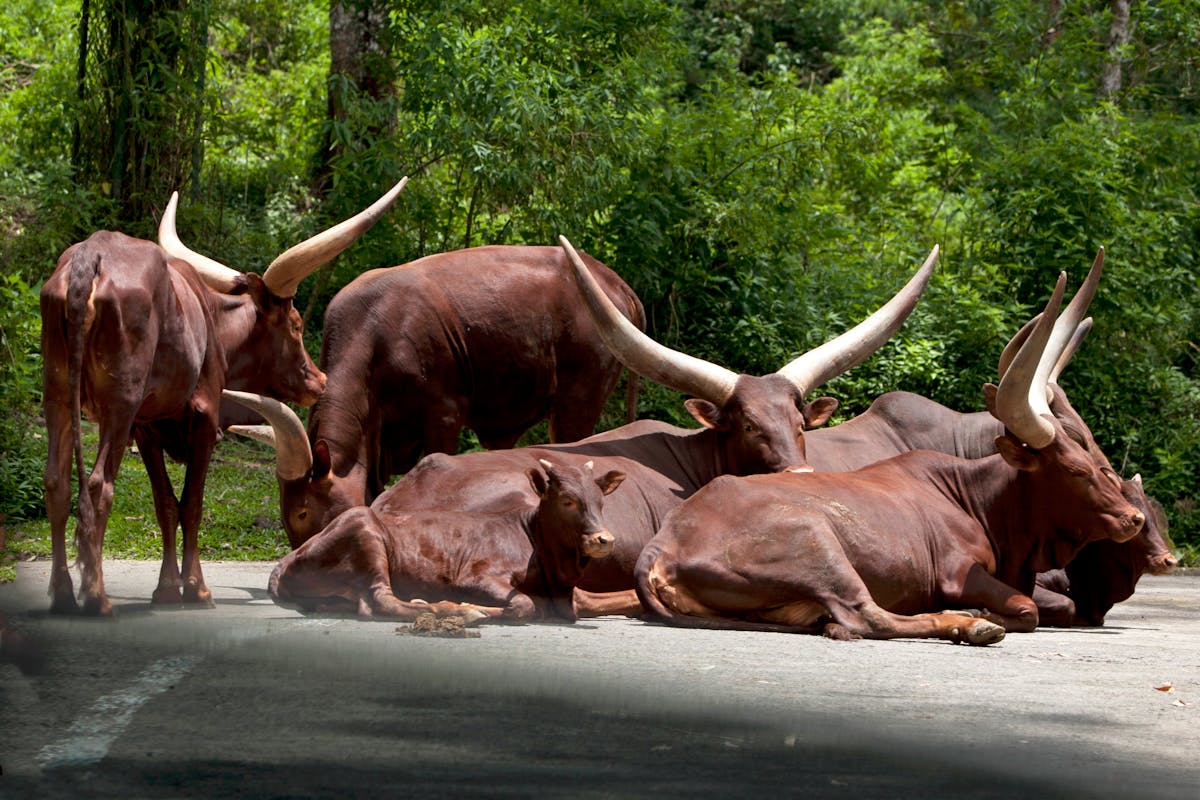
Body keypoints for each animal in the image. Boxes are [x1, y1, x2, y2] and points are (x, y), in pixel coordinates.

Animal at [39, 178, 406, 615]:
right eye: (297, 324)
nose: (319, 379)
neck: (212, 319)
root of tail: (90, 257)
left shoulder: (147, 429)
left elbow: (166, 504)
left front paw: (167, 590)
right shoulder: (204, 418)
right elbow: (192, 503)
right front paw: (196, 589)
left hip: (57, 396)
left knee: (56, 482)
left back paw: (62, 593)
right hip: (118, 405)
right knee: (97, 485)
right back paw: (96, 596)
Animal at [226, 238, 939, 587]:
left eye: (800, 426)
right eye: (744, 424)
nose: (798, 479)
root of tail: (619, 286)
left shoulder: (436, 414)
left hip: (581, 389)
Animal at [267, 457, 626, 623]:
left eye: (601, 500)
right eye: (567, 500)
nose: (604, 539)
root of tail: (286, 561)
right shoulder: (476, 576)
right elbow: (523, 605)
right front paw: (471, 609)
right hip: (365, 532)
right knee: (381, 600)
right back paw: (444, 609)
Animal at [633, 273, 1146, 644]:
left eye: (1096, 460)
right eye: (1076, 469)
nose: (1134, 518)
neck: (974, 497)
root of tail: (660, 548)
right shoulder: (960, 574)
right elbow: (1028, 608)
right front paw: (979, 612)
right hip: (821, 549)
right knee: (868, 617)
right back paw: (968, 624)